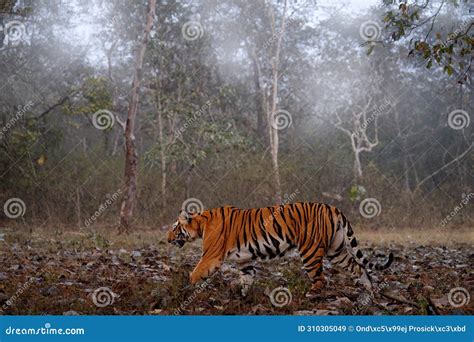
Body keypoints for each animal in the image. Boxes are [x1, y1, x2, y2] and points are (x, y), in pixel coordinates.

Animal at [167, 202, 392, 298]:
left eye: (175, 228)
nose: (167, 239)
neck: (201, 224)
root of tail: (333, 208)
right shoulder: (245, 261)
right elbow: (246, 278)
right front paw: (242, 296)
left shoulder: (211, 257)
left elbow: (195, 273)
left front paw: (184, 291)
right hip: (336, 250)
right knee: (358, 266)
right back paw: (369, 290)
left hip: (310, 252)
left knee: (321, 278)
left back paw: (311, 294)